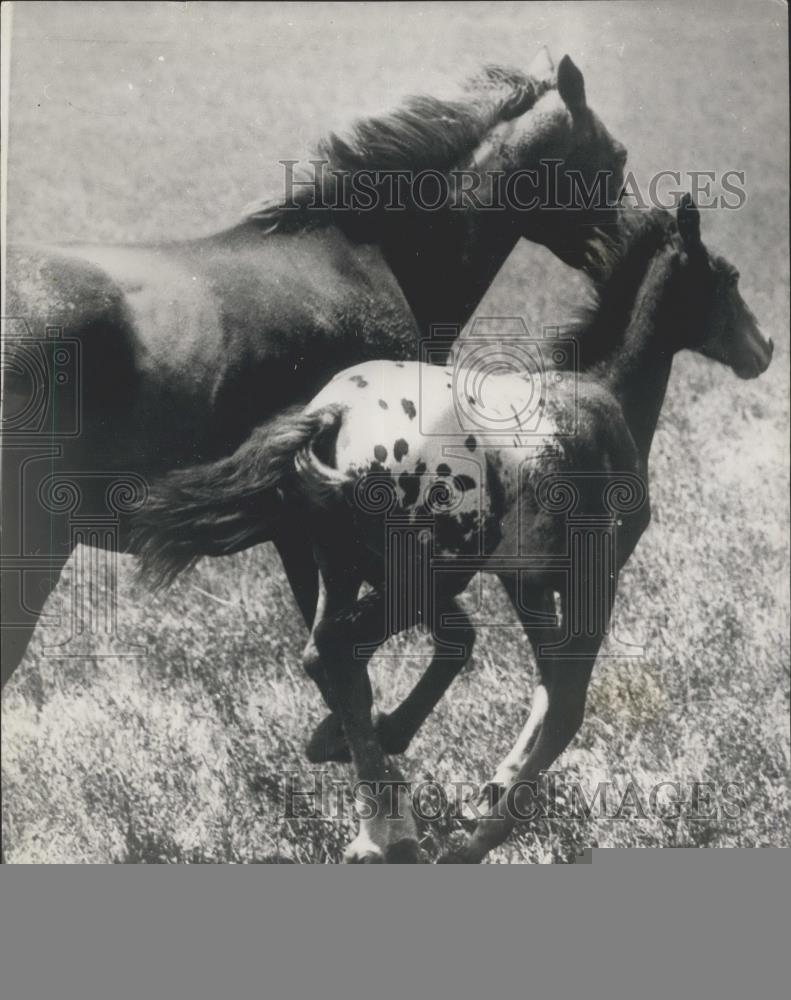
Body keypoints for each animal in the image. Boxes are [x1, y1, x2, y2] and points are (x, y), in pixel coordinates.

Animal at [138, 197, 772, 860]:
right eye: (727, 278)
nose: (765, 348)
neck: (603, 397)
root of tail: (332, 413)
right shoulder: (594, 575)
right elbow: (568, 702)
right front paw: (483, 831)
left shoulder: (527, 581)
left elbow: (548, 683)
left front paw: (492, 787)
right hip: (423, 574)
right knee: (352, 648)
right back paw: (383, 821)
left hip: (347, 565)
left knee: (328, 650)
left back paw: (361, 778)